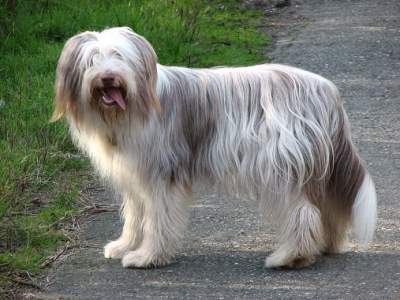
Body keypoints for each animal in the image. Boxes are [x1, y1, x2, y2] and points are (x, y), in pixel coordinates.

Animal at [51, 27, 376, 268]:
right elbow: (134, 215)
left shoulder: (162, 174)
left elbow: (157, 219)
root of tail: (326, 90)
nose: (108, 77)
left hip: (279, 166)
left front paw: (148, 256)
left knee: (302, 211)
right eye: (92, 60)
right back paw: (324, 246)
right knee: (326, 206)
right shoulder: (135, 175)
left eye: (119, 57)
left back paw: (290, 256)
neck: (129, 110)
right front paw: (125, 245)